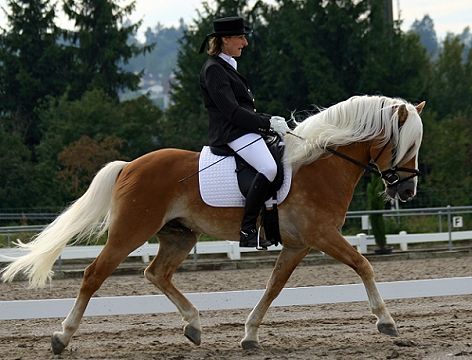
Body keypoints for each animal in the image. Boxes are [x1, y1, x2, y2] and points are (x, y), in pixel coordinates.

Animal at [2, 93, 424, 354]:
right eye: (406, 145)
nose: (407, 191)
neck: (320, 164)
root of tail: (130, 165)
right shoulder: (321, 235)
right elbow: (363, 265)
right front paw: (387, 323)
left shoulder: (297, 244)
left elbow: (273, 287)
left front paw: (250, 336)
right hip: (130, 233)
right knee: (94, 274)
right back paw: (61, 336)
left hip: (180, 236)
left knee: (156, 274)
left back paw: (193, 326)